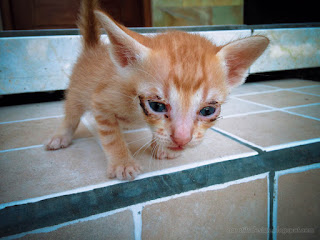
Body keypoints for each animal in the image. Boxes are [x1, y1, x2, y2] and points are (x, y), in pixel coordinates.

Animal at [46, 0, 268, 180]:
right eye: (156, 106)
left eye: (207, 110)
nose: (182, 140)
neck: (135, 109)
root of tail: (93, 48)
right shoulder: (101, 101)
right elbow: (111, 136)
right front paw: (122, 163)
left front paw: (161, 146)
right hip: (77, 92)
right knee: (71, 113)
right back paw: (61, 136)